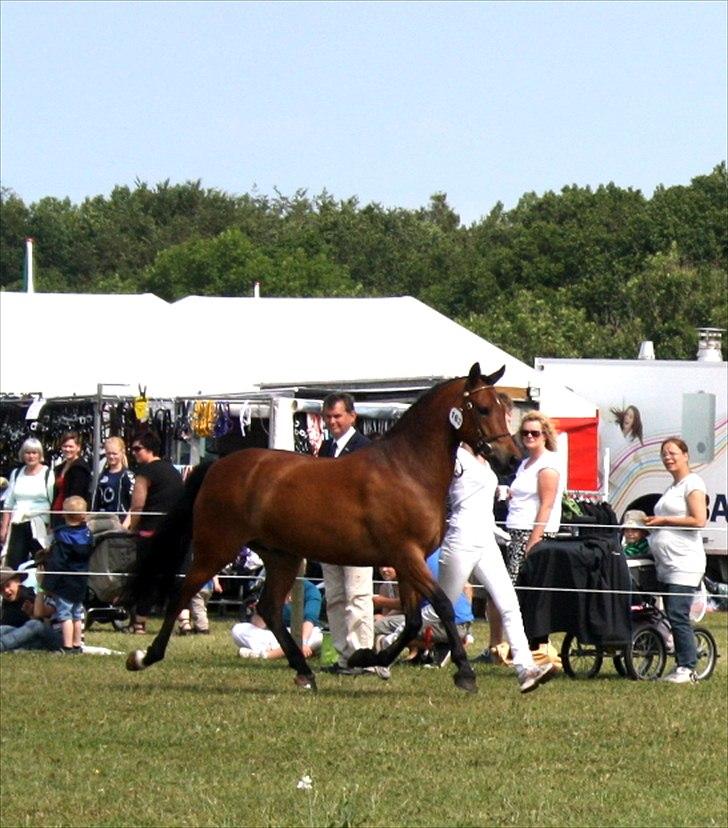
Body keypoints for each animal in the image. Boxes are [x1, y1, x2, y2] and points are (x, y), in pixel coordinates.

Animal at [122, 362, 520, 692]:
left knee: (268, 608)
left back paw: (304, 672)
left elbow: (410, 622)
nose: (511, 459)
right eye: (483, 409)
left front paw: (365, 658)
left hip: (281, 556)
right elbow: (441, 605)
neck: (407, 469)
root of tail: (220, 466)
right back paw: (145, 656)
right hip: (216, 547)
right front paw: (465, 674)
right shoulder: (405, 555)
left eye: (505, 409)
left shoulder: (409, 560)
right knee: (182, 592)